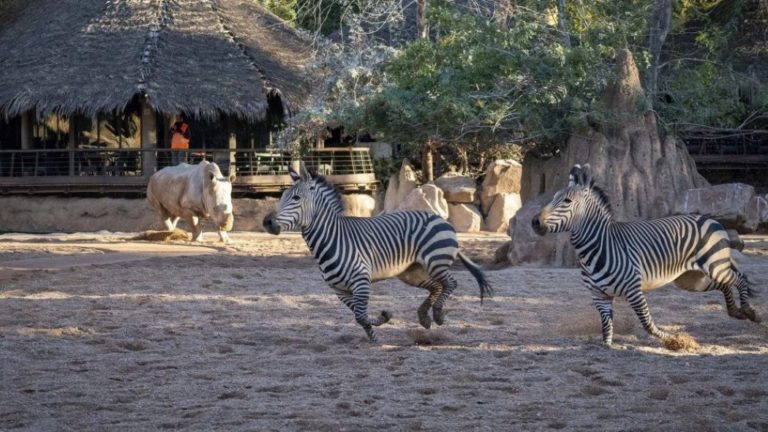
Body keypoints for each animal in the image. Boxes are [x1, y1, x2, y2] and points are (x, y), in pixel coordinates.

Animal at [262, 164, 492, 342]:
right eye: (282, 196)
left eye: (296, 198)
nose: (267, 222)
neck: (331, 239)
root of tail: (438, 218)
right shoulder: (339, 290)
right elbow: (359, 316)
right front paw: (375, 335)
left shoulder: (361, 282)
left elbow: (361, 316)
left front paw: (382, 322)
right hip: (411, 272)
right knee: (436, 286)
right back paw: (424, 317)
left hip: (436, 261)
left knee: (451, 283)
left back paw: (437, 315)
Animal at [532, 164, 760, 346]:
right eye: (553, 198)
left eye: (567, 201)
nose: (535, 222)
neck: (595, 248)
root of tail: (710, 219)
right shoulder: (599, 296)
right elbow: (606, 328)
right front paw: (607, 346)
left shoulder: (634, 290)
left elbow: (647, 323)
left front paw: (674, 341)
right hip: (690, 280)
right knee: (724, 284)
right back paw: (736, 312)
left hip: (714, 264)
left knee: (740, 278)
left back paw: (749, 311)